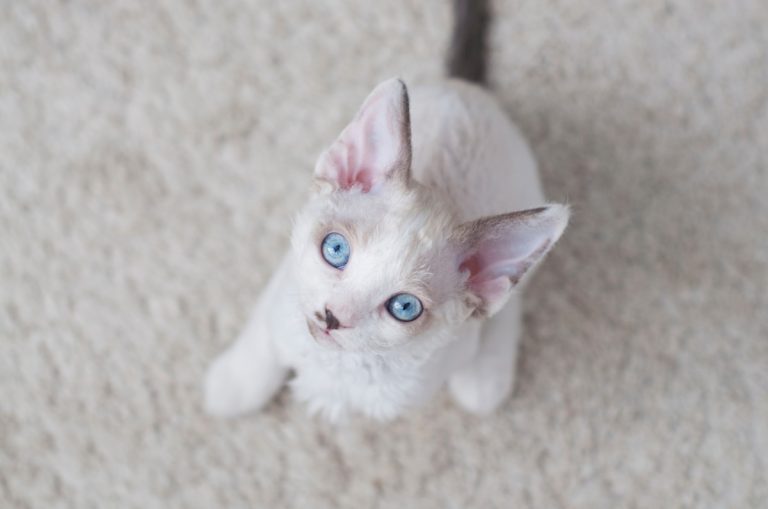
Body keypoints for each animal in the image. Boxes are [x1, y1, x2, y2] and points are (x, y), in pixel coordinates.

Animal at [201, 2, 568, 420]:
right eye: (335, 250)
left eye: (404, 307)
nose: (333, 315)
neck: (335, 367)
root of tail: (464, 88)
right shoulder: (285, 283)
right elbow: (262, 345)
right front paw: (230, 387)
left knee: (495, 341)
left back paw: (485, 375)